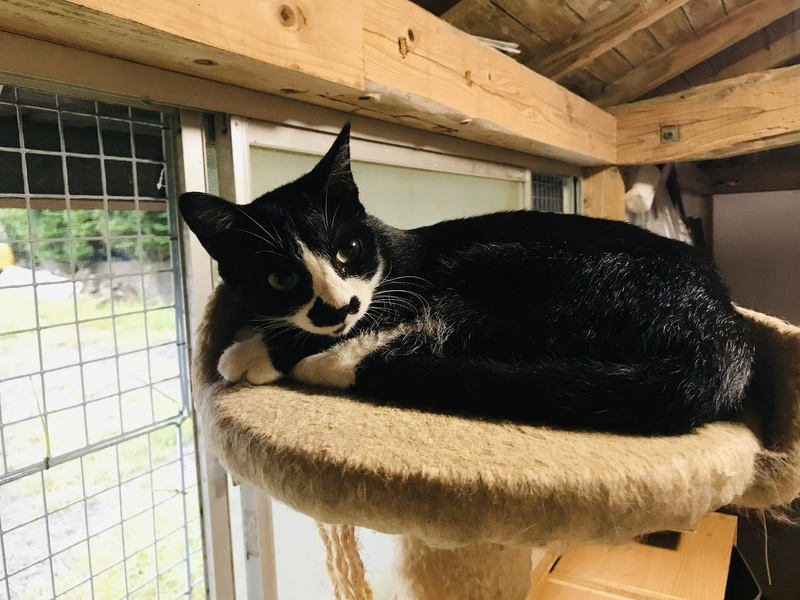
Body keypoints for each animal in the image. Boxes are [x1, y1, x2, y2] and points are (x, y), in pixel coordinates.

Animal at [179, 123, 754, 435]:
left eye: (346, 251)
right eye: (280, 277)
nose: (336, 307)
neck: (387, 250)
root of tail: (721, 333)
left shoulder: (403, 291)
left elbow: (370, 325)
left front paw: (253, 350)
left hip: (513, 268)